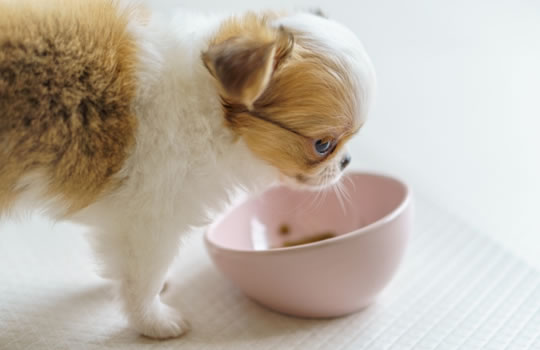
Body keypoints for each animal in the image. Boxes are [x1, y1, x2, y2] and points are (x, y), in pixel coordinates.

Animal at [0, 0, 376, 340]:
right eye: (323, 145)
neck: (207, 103)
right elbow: (142, 281)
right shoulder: (151, 223)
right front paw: (154, 322)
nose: (346, 162)